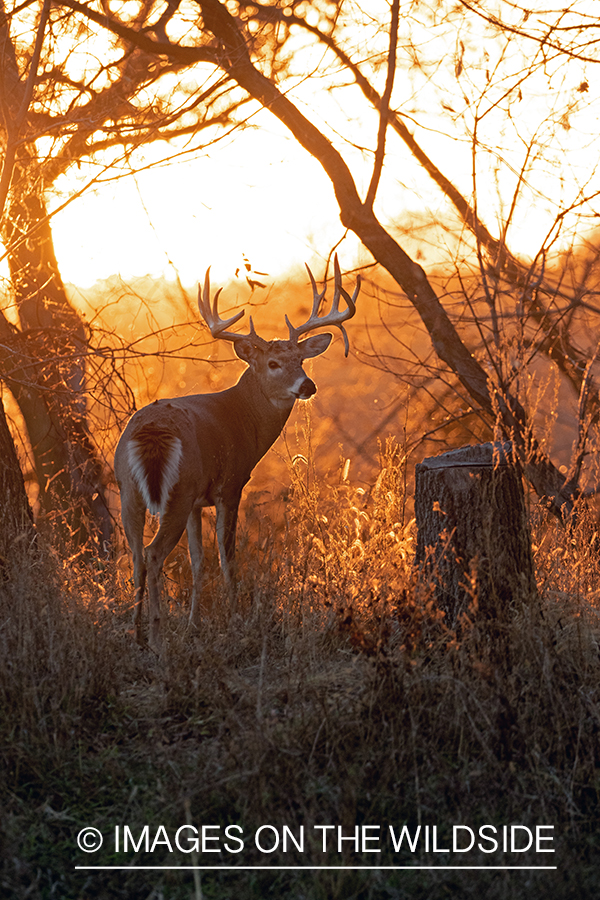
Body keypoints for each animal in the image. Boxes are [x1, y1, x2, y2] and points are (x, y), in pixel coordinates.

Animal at [114, 256, 358, 652]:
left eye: (301, 360)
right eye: (273, 363)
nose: (308, 385)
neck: (242, 418)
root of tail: (152, 431)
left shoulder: (198, 501)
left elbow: (199, 561)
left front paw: (195, 625)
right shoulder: (229, 487)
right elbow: (228, 559)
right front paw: (235, 621)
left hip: (129, 489)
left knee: (135, 555)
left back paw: (135, 632)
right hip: (176, 491)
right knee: (152, 552)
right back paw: (156, 637)